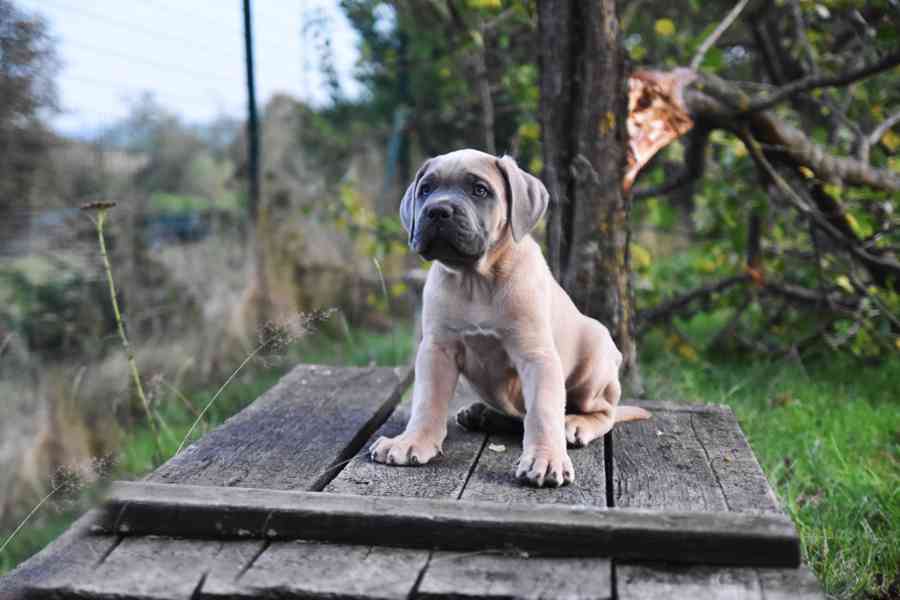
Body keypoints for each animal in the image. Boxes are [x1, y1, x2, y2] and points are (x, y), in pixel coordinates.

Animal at [370, 146, 652, 488]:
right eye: (426, 189)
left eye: (480, 190)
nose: (437, 211)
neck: (475, 280)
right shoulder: (437, 349)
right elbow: (427, 401)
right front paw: (412, 441)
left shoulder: (536, 356)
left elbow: (543, 412)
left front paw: (546, 459)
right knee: (519, 416)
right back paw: (482, 414)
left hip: (595, 359)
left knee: (602, 412)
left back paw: (574, 424)